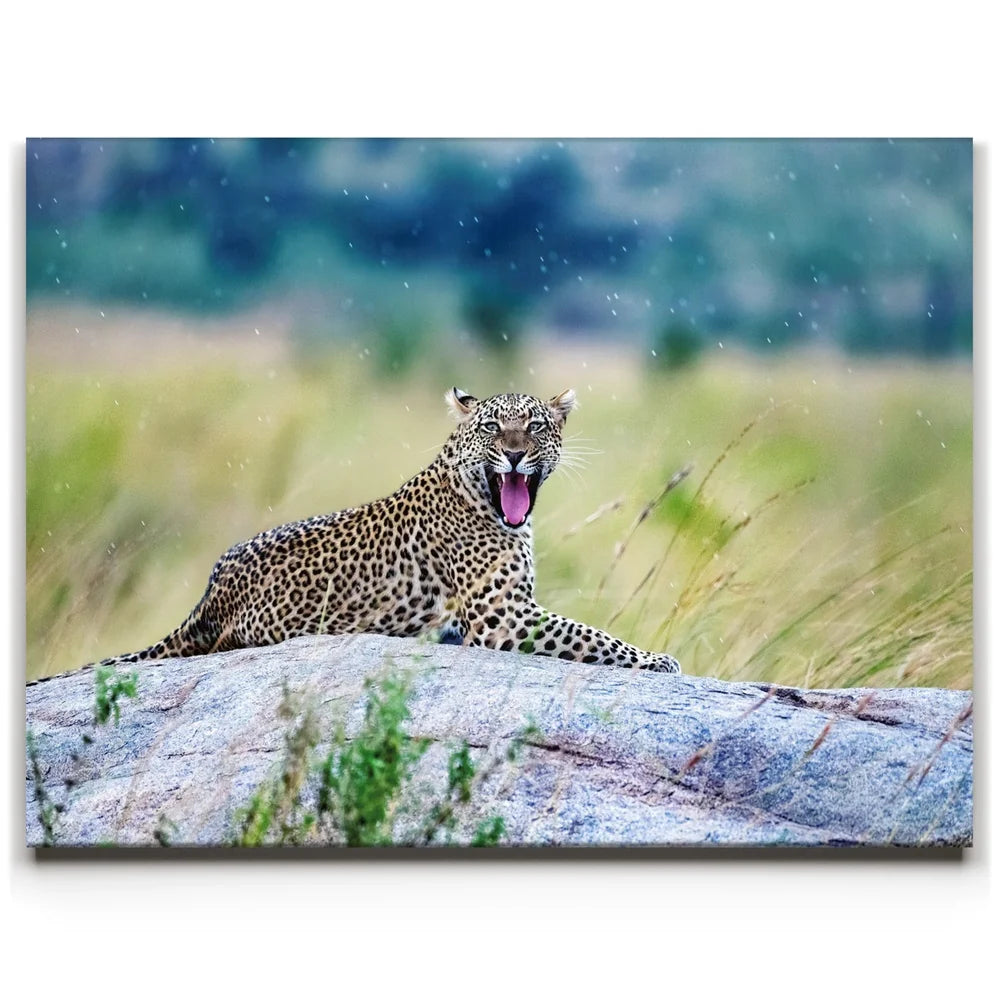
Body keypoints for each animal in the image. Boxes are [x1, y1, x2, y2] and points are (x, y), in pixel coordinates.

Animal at [32, 387, 681, 682]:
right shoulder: (505, 618)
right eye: (494, 427)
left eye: (538, 427)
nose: (517, 455)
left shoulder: (510, 613)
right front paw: (660, 660)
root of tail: (211, 591)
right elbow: (593, 638)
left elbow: (589, 633)